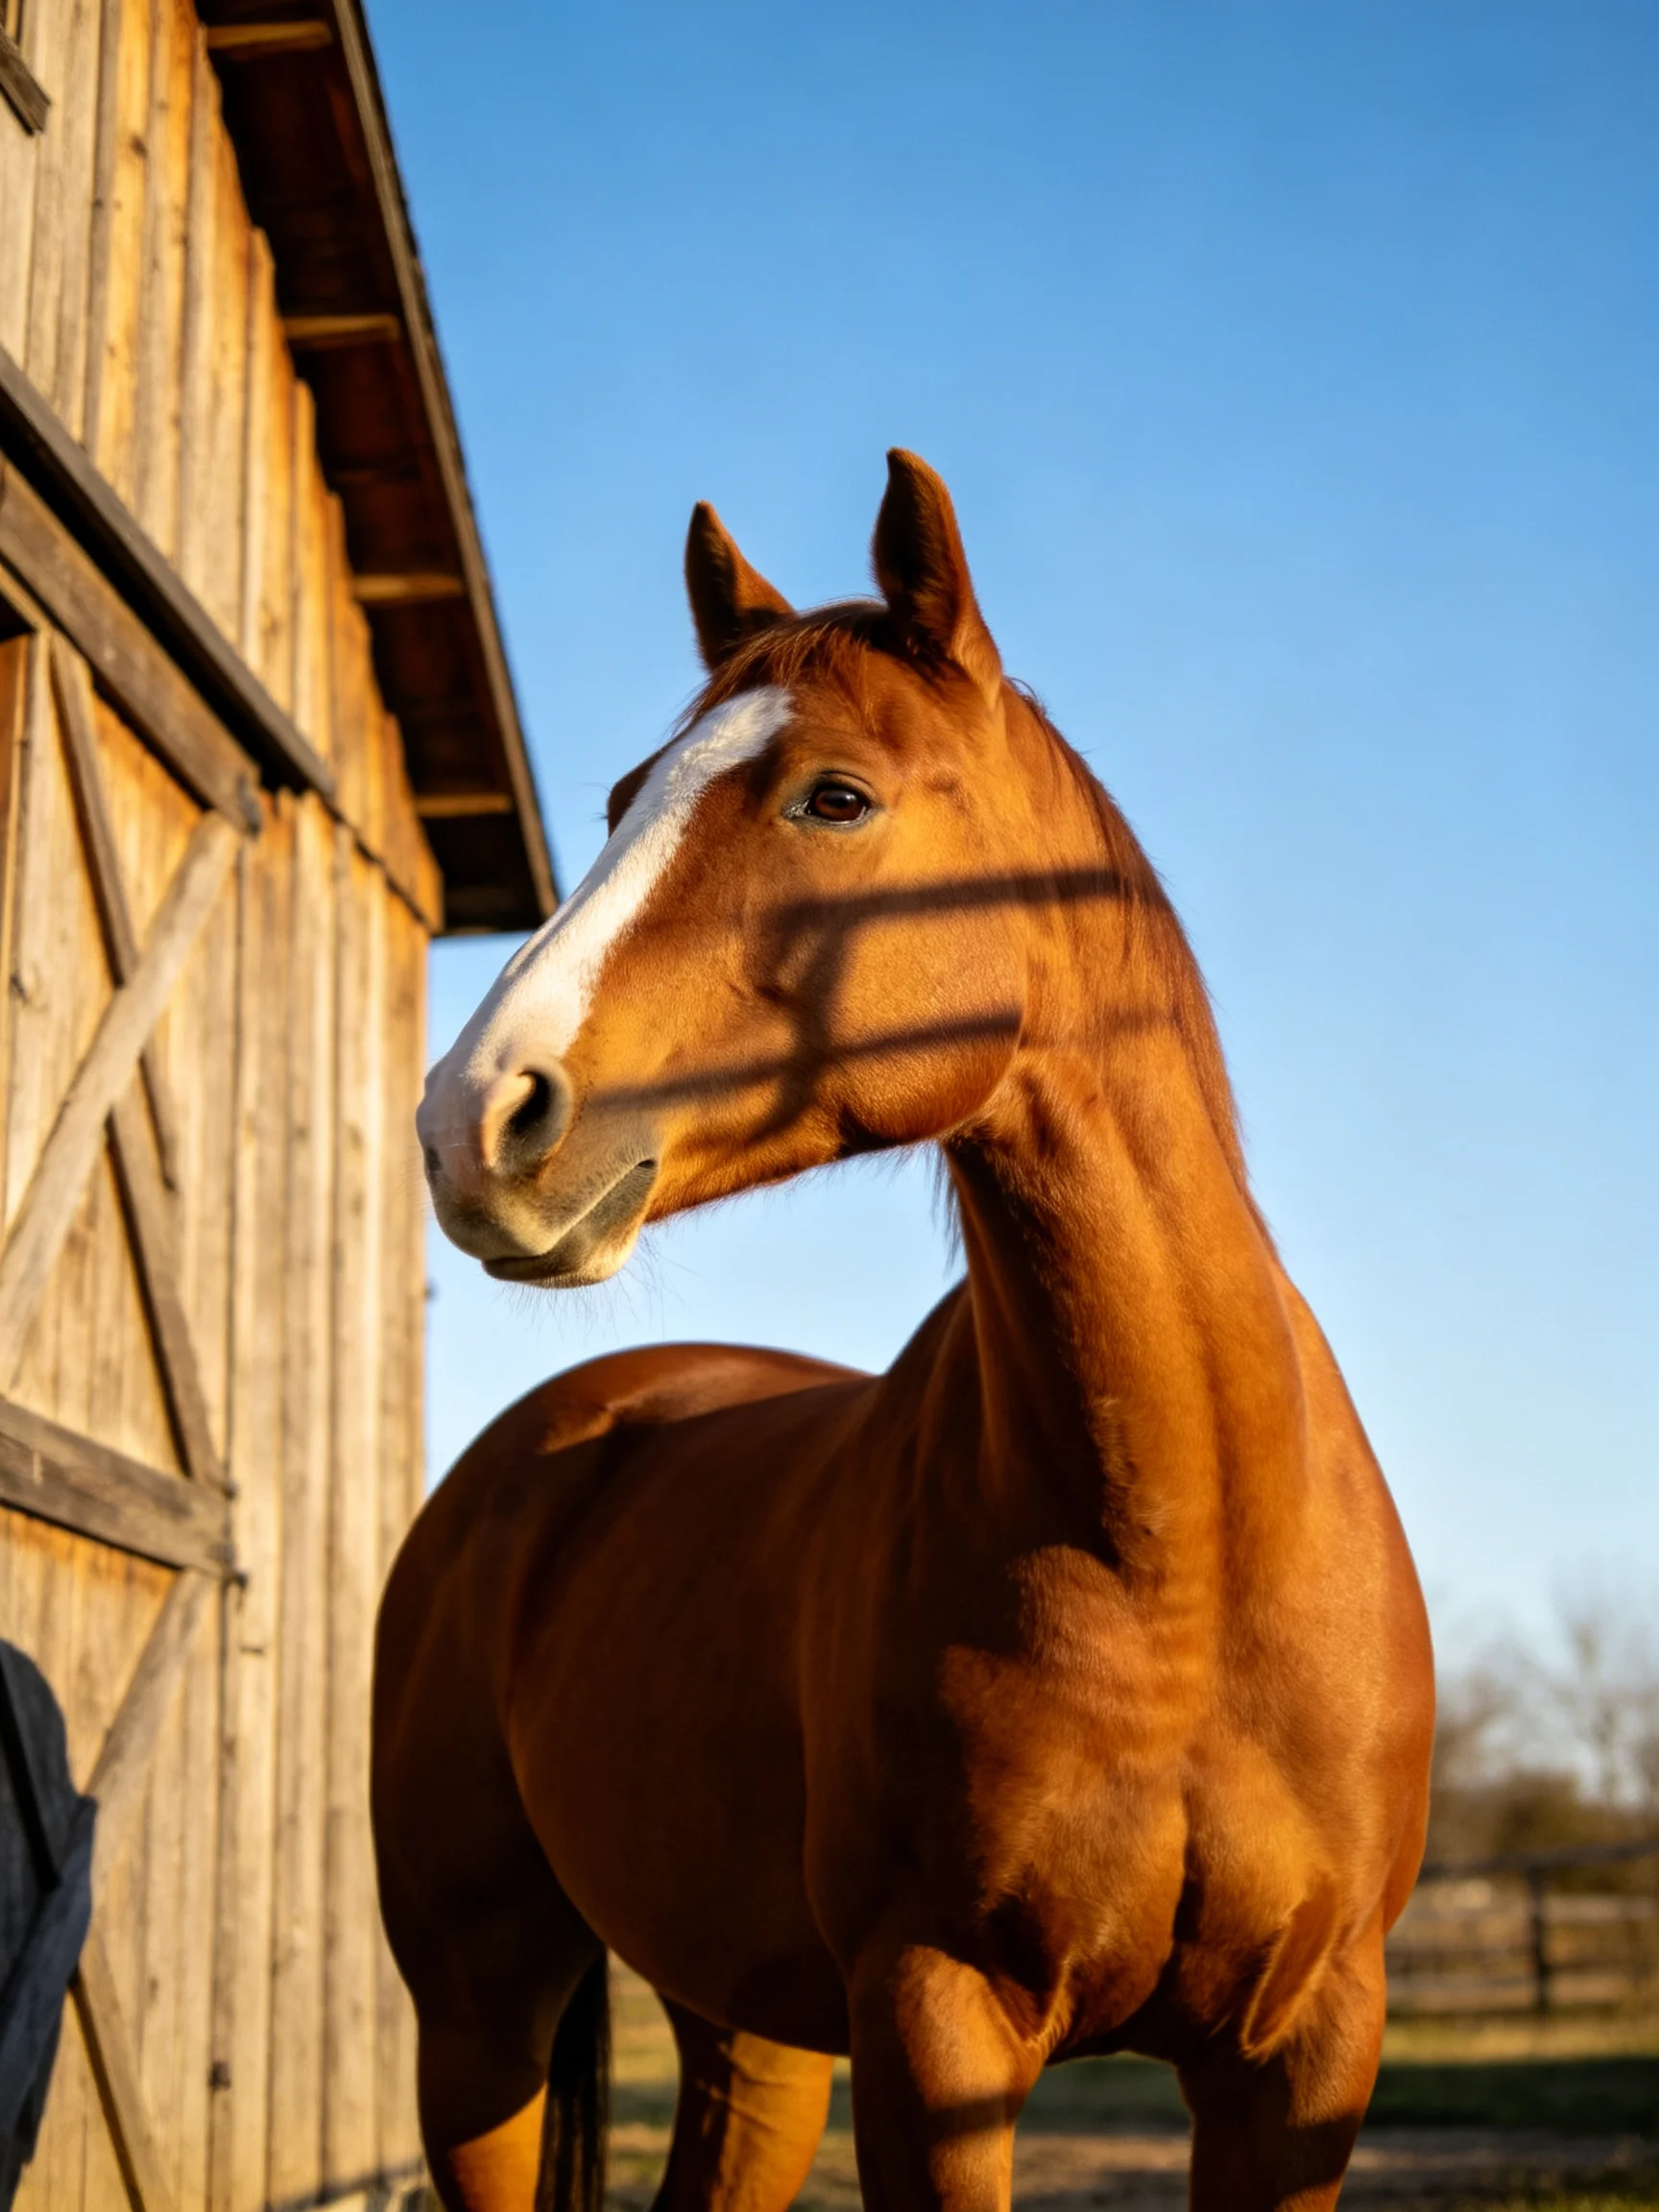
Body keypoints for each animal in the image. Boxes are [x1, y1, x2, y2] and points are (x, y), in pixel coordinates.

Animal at [376, 450, 1434, 2212]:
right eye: (620, 799)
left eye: (833, 798)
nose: (475, 1120)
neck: (1187, 1544)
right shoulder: (935, 2024)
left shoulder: (1302, 2053)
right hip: (477, 2010)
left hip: (746, 2028)